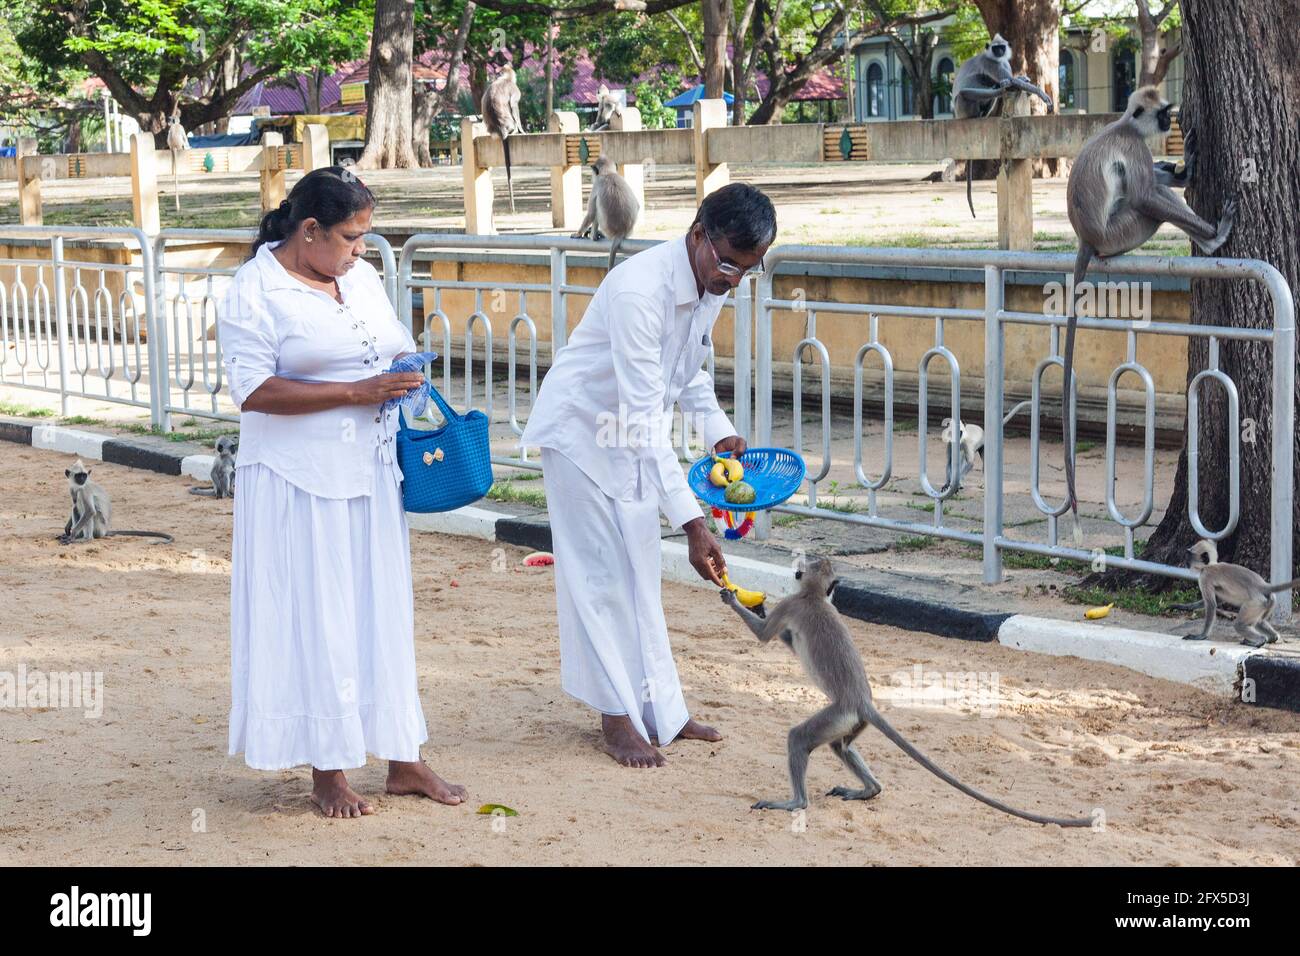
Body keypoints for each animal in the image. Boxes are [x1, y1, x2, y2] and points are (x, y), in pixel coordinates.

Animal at [483, 66, 522, 217]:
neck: (504, 79)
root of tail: (501, 129)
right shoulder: (515, 89)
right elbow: (514, 105)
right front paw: (523, 130)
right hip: (511, 123)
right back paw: (515, 130)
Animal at [717, 556, 1092, 827]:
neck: (813, 596)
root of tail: (862, 701)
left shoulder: (792, 604)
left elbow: (764, 636)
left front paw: (735, 599)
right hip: (850, 721)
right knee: (841, 747)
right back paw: (869, 790)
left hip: (837, 713)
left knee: (799, 739)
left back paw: (795, 802)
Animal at [956, 32, 1055, 217]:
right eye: (996, 48)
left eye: (1001, 47)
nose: (1000, 51)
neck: (994, 57)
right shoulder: (992, 63)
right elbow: (1011, 79)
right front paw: (1040, 93)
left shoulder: (1002, 62)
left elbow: (1011, 79)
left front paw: (1023, 81)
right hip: (962, 106)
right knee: (971, 91)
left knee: (991, 86)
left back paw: (986, 109)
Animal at [1066, 85, 1237, 528]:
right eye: (1162, 114)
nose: (1167, 123)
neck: (1125, 124)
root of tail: (1088, 237)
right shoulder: (1134, 147)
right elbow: (1144, 194)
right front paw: (1214, 228)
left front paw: (1182, 168)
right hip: (1122, 231)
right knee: (1147, 202)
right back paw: (1214, 239)